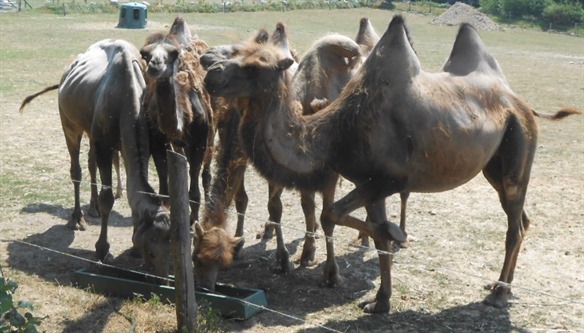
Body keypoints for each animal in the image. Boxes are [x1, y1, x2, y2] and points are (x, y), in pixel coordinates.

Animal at [18, 39, 173, 276]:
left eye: (171, 247)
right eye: (151, 250)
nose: (163, 277)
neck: (126, 97)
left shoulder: (139, 145)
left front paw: (131, 247)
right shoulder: (104, 144)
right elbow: (107, 198)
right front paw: (102, 250)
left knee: (91, 163)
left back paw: (93, 207)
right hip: (69, 124)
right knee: (77, 169)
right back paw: (77, 218)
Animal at [139, 18, 214, 226]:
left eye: (173, 54)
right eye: (145, 54)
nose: (155, 65)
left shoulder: (199, 142)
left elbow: (194, 193)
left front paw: (193, 222)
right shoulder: (157, 141)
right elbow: (164, 191)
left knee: (206, 172)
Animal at [204, 14, 580, 312]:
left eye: (255, 66)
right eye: (236, 53)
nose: (211, 73)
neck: (334, 133)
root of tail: (522, 104)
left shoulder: (386, 180)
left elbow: (332, 214)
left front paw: (394, 238)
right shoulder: (368, 183)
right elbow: (374, 235)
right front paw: (381, 299)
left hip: (518, 147)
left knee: (514, 226)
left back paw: (498, 295)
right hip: (495, 167)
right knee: (523, 219)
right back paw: (502, 287)